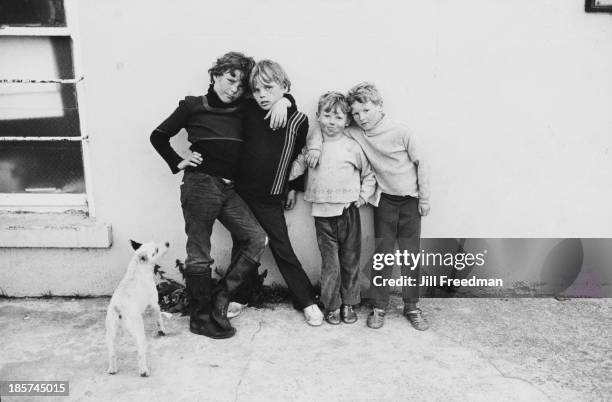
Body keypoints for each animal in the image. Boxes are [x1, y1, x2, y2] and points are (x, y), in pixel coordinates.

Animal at [106, 239, 170, 376]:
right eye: (156, 250)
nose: (167, 243)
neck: (138, 266)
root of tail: (119, 309)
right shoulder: (155, 304)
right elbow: (159, 319)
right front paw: (162, 330)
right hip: (139, 331)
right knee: (141, 353)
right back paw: (144, 371)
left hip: (109, 334)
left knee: (112, 354)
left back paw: (112, 369)